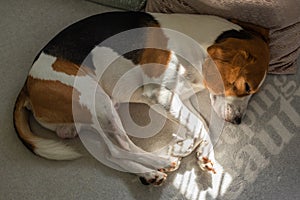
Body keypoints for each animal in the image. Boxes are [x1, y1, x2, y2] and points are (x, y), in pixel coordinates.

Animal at [13, 11, 270, 185]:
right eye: (246, 87)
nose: (238, 121)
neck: (199, 44)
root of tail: (27, 84)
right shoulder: (160, 94)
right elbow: (199, 124)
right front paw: (185, 147)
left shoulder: (178, 98)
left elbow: (200, 125)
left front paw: (193, 149)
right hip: (94, 98)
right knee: (117, 150)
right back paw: (158, 164)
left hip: (89, 117)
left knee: (113, 152)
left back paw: (151, 170)